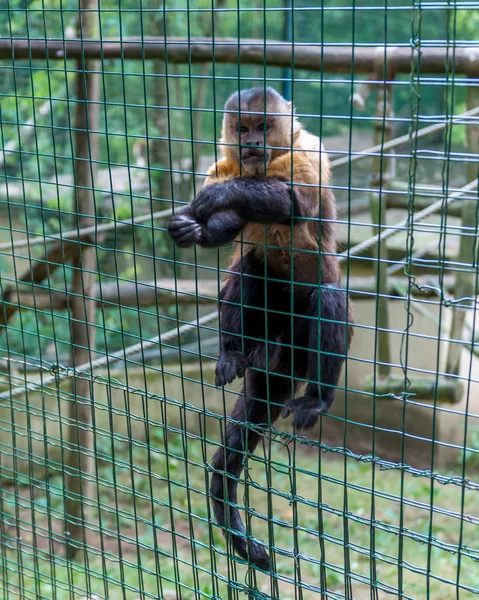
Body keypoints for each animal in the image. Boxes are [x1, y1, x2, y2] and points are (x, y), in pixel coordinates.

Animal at [168, 88, 352, 572]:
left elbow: (293, 203)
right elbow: (231, 231)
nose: (252, 142)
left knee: (327, 298)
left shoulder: (308, 151)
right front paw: (193, 229)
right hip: (265, 336)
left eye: (264, 127)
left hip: (301, 339)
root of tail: (279, 354)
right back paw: (233, 352)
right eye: (243, 128)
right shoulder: (226, 159)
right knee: (249, 267)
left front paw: (220, 197)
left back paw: (317, 396)